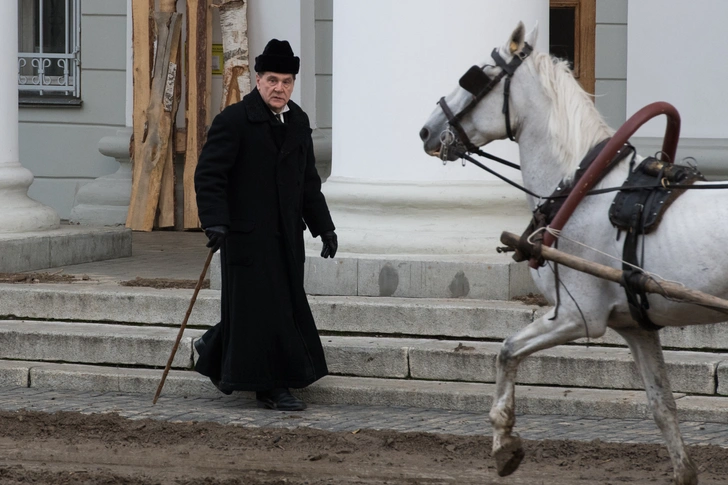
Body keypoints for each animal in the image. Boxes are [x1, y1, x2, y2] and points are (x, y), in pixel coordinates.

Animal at [418, 20, 728, 482]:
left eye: (476, 75)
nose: (426, 129)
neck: (583, 187)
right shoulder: (635, 327)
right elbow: (662, 406)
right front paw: (684, 471)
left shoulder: (577, 316)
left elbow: (506, 351)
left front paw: (504, 442)